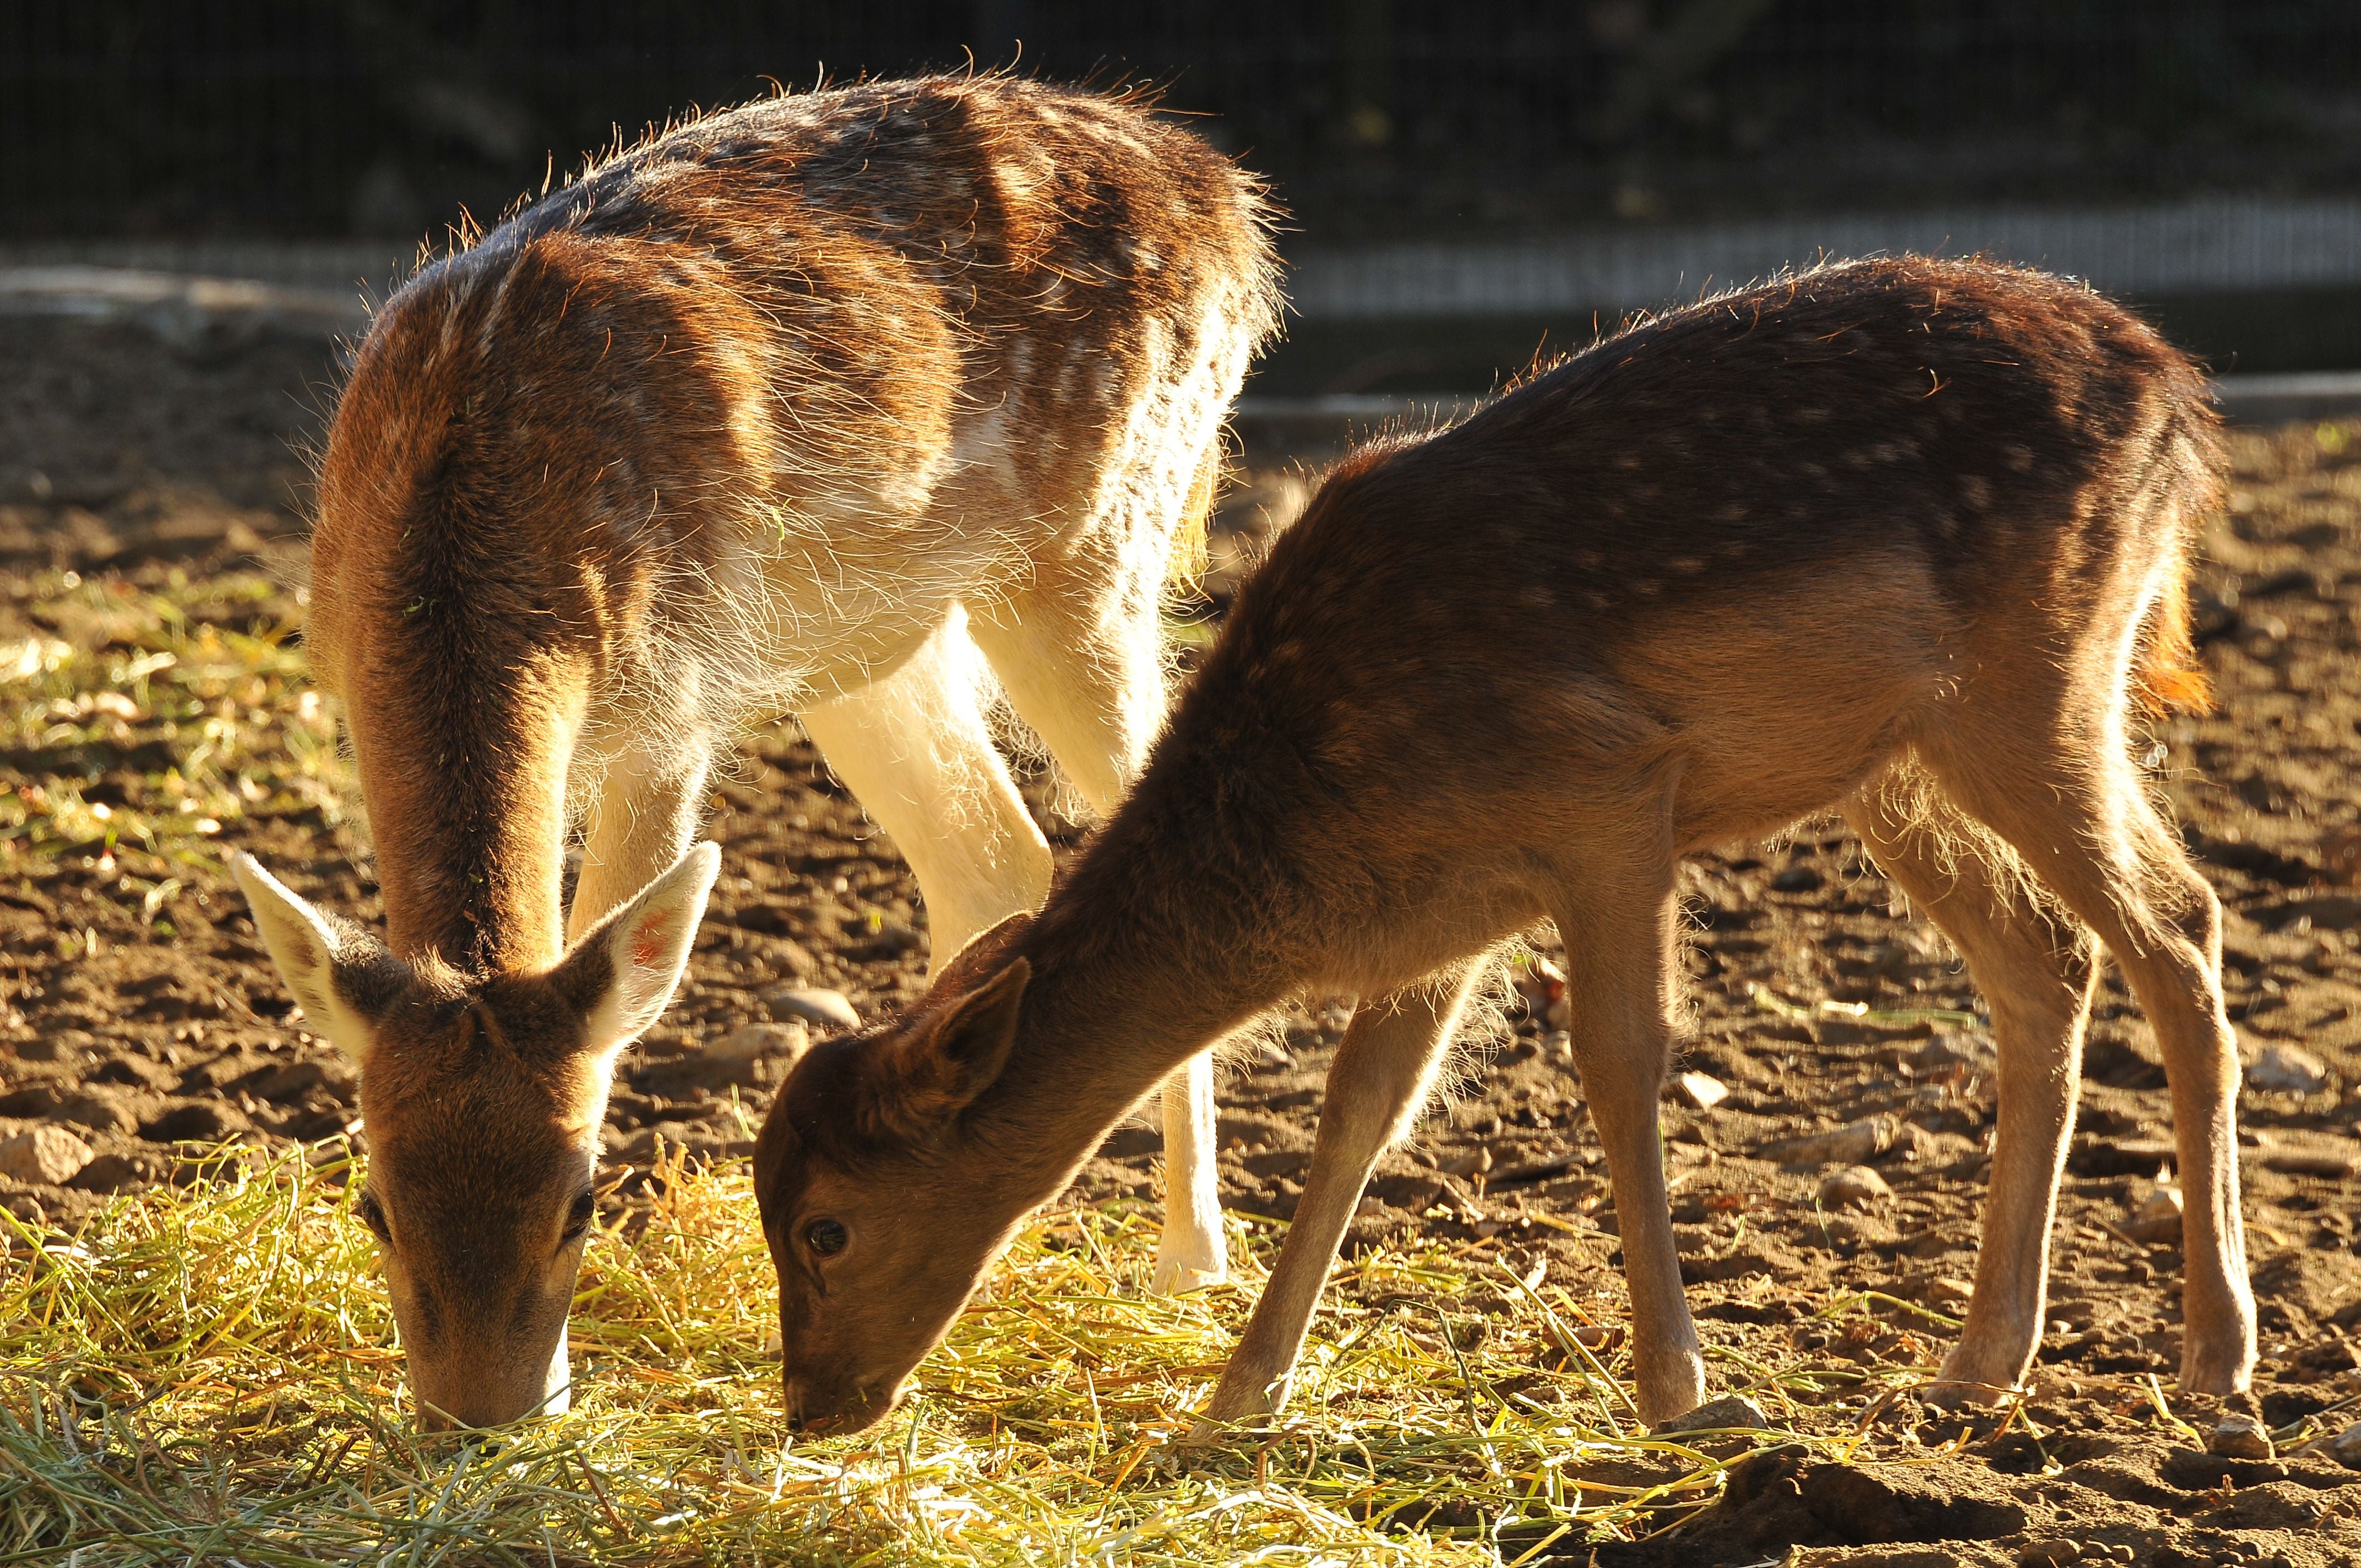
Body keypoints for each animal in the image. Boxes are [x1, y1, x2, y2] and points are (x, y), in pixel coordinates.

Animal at [225, 77, 1275, 1435]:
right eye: (373, 1203)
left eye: (580, 1200)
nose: (480, 1417)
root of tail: (1227, 195)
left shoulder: (673, 697)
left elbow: (616, 961)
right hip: (868, 634)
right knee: (995, 851)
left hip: (1098, 540)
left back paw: (1188, 1259)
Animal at [746, 254, 2257, 1435]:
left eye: (825, 1223)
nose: (811, 1404)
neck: (1314, 824)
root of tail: (2178, 388)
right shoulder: (1449, 907)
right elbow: (1360, 1108)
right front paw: (1238, 1395)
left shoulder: (1604, 797)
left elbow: (1619, 1061)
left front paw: (1679, 1388)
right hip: (1894, 759)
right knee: (2043, 960)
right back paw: (1978, 1361)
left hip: (2037, 678)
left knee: (2179, 920)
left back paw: (2215, 1353)